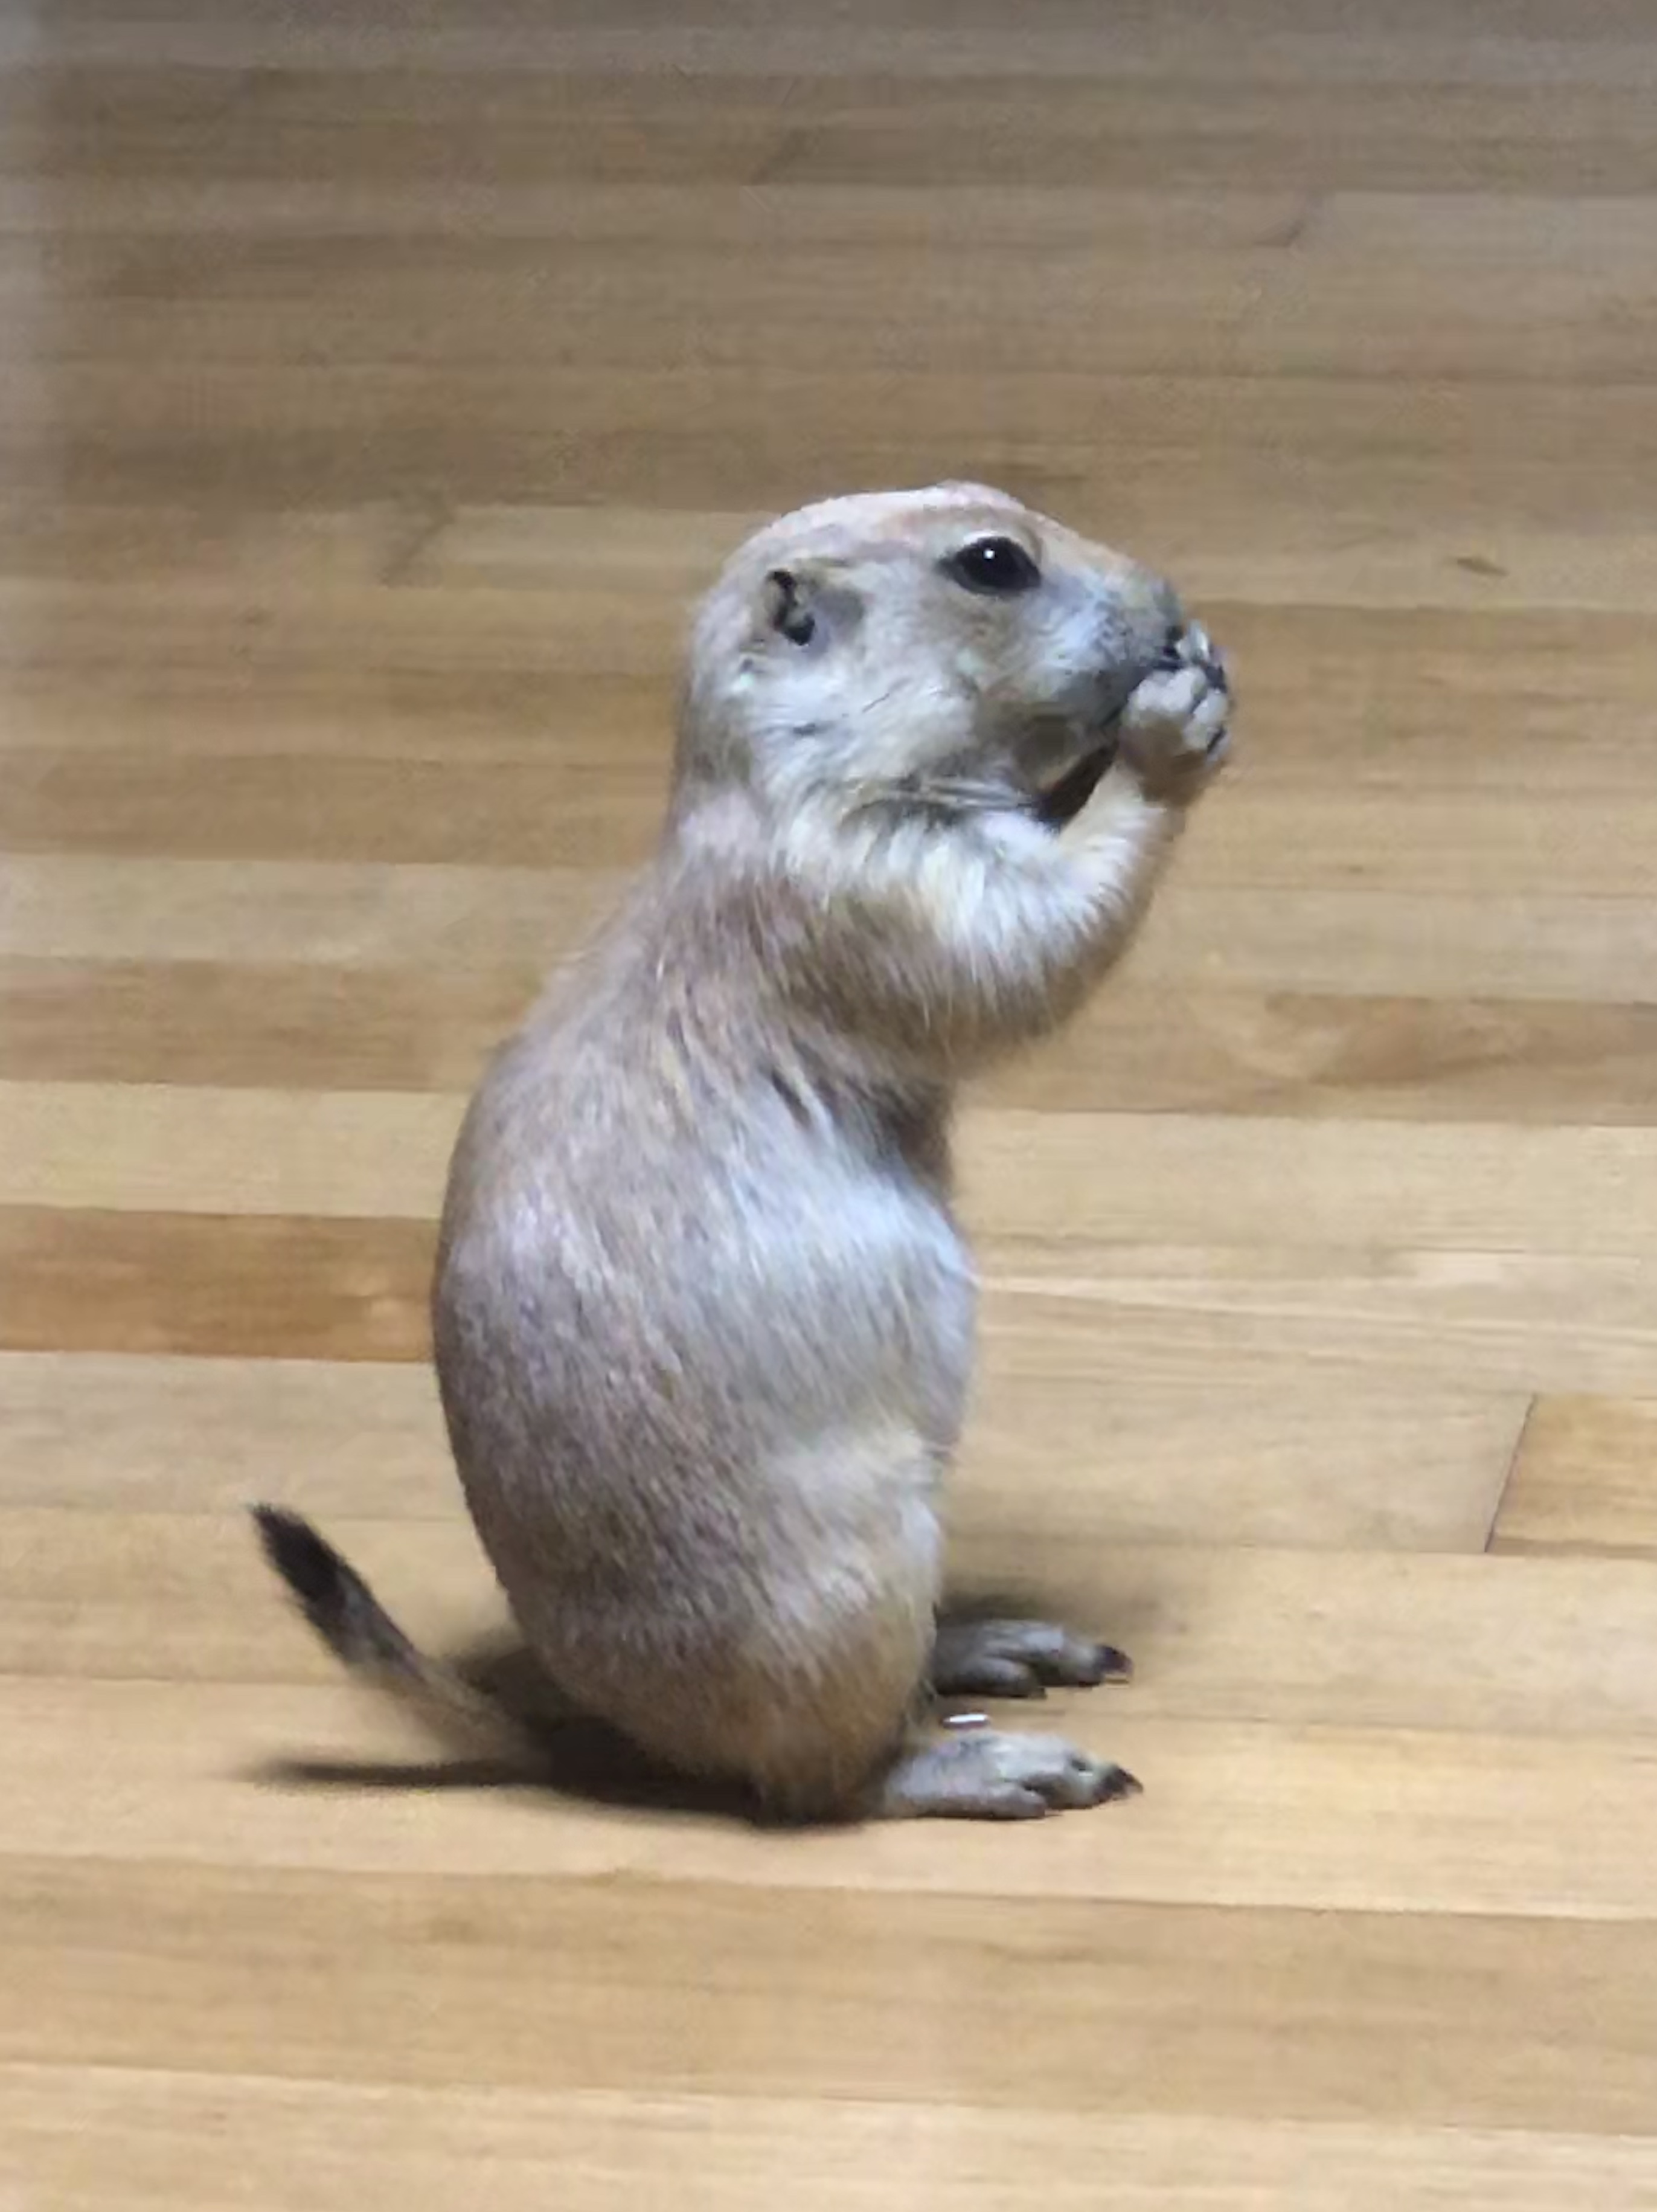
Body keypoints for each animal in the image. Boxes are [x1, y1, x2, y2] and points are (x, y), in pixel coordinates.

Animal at [255, 481, 1232, 1822]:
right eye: (992, 564)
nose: (1173, 604)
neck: (789, 771)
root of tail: (612, 1739)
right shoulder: (866, 883)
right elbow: (1019, 938)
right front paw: (1169, 724)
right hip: (850, 1569)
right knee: (829, 1777)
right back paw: (994, 1756)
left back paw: (995, 1643)